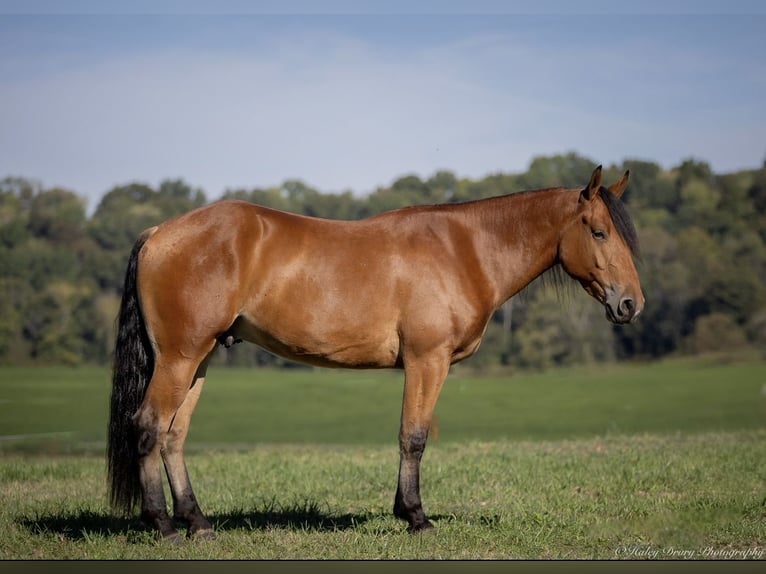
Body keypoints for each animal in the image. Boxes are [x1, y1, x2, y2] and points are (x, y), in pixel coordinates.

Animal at [107, 165, 644, 542]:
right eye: (599, 232)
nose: (631, 304)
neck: (464, 250)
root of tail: (158, 233)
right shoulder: (427, 361)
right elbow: (414, 436)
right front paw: (416, 517)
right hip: (179, 358)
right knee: (149, 427)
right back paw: (164, 525)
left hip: (199, 360)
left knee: (174, 436)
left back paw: (197, 522)